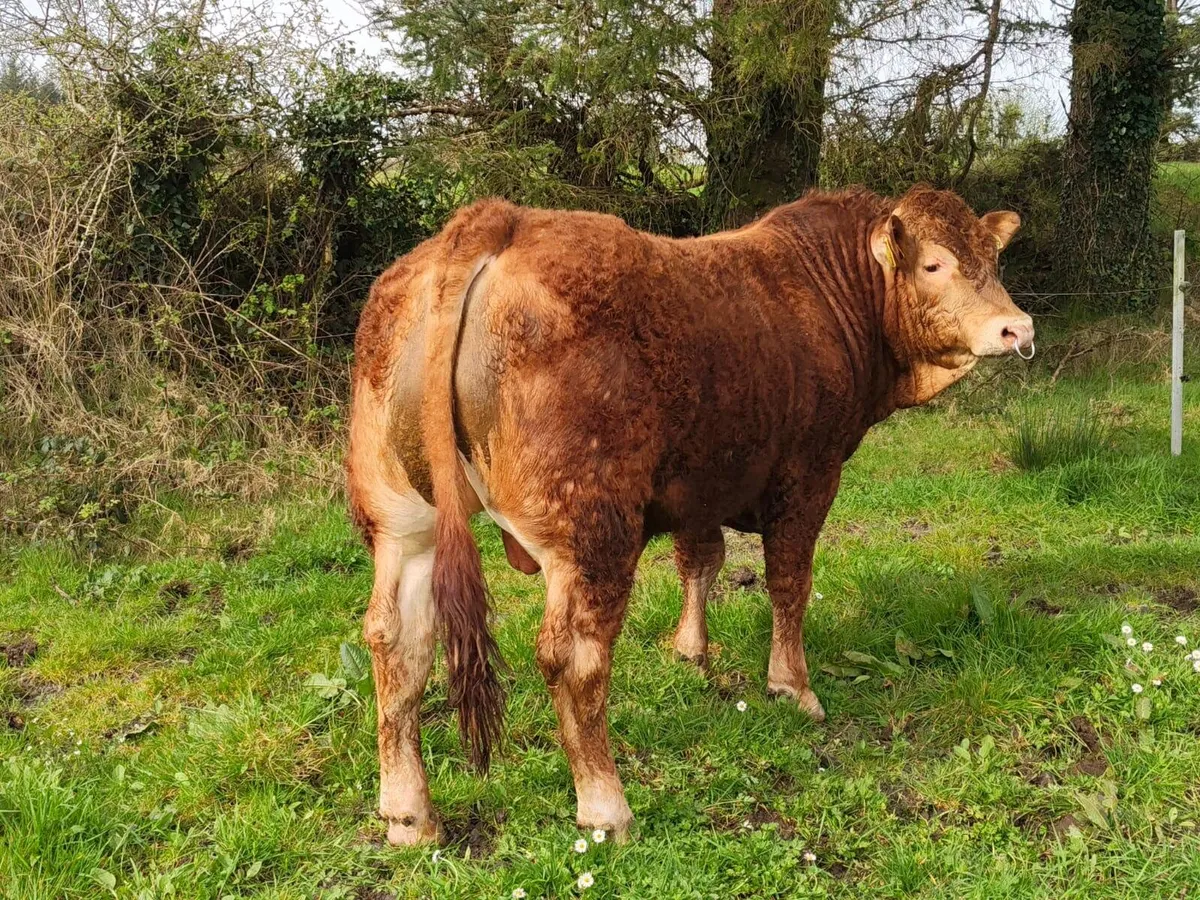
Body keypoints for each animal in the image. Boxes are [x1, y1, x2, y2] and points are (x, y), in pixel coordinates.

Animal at [345, 185, 1032, 846]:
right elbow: (789, 582)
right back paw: (606, 810)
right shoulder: (809, 473)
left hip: (402, 522)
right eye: (934, 263)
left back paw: (409, 816)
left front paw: (690, 653)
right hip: (592, 529)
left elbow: (700, 561)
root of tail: (494, 221)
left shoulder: (700, 483)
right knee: (573, 658)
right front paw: (793, 687)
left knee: (395, 639)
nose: (1016, 329)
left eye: (993, 259)